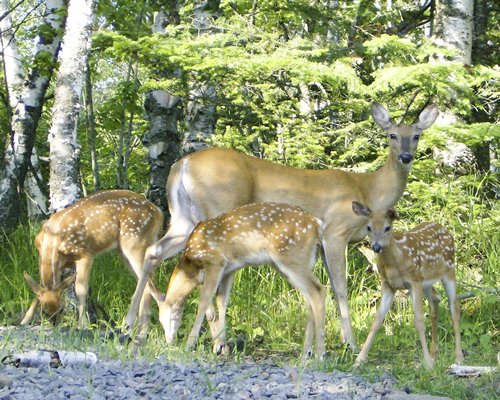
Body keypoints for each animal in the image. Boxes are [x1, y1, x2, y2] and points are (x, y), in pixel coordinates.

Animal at [21, 191, 162, 338]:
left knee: (149, 277)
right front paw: (25, 319)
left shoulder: (85, 254)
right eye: (45, 311)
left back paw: (144, 328)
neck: (53, 239)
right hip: (125, 250)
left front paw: (83, 324)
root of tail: (158, 211)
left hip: (135, 241)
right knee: (146, 279)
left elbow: (80, 289)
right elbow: (38, 289)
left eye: (61, 309)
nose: (56, 324)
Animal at [150, 203, 326, 360]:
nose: (170, 342)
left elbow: (204, 302)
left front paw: (190, 345)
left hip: (292, 259)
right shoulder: (229, 270)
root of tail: (317, 225)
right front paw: (221, 346)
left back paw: (319, 354)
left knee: (318, 290)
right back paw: (305, 354)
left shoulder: (216, 262)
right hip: (294, 264)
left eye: (164, 318)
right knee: (309, 298)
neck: (191, 263)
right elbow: (221, 301)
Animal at [352, 202, 464, 370]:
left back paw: (458, 357)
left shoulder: (414, 281)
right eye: (368, 227)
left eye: (387, 227)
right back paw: (434, 354)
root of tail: (444, 229)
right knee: (435, 300)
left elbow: (419, 321)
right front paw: (358, 360)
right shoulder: (388, 285)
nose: (376, 247)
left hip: (449, 271)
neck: (395, 261)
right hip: (426, 281)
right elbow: (377, 321)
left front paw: (427, 364)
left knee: (454, 307)